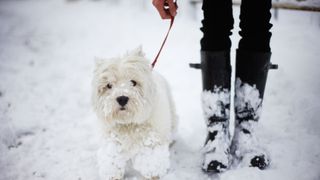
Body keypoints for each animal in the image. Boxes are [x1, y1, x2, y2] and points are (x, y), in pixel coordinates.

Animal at [91, 47, 178, 179]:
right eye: (109, 85)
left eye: (133, 82)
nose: (122, 98)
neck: (128, 124)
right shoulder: (112, 142)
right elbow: (112, 162)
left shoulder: (150, 143)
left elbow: (151, 163)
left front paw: (153, 176)